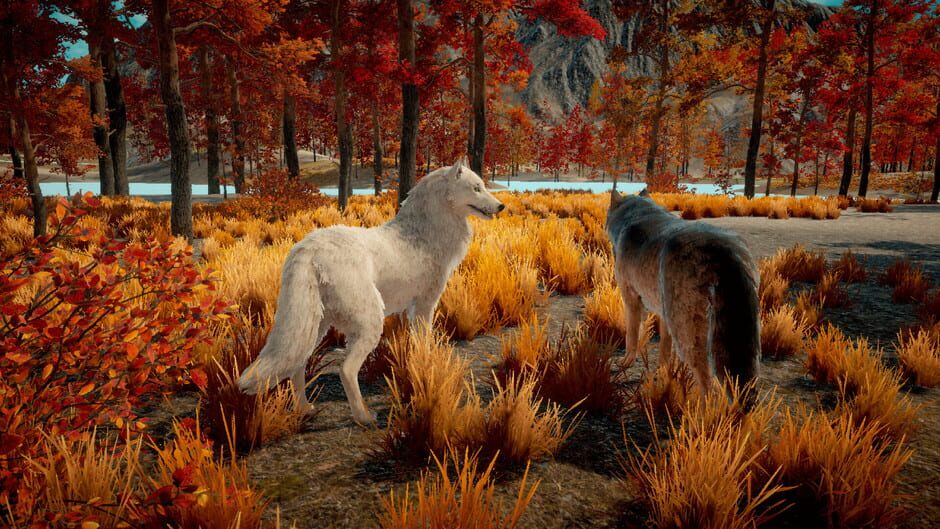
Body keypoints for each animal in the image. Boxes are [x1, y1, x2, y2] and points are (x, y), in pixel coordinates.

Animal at [238, 160, 504, 423]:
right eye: (477, 188)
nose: (501, 206)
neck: (423, 235)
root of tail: (308, 249)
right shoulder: (425, 305)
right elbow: (425, 341)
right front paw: (426, 366)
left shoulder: (412, 309)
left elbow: (415, 343)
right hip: (369, 322)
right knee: (345, 370)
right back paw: (364, 417)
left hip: (316, 325)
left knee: (298, 365)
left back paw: (304, 409)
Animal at [606, 189, 760, 391]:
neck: (636, 215)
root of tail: (724, 252)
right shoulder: (664, 314)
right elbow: (664, 348)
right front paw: (661, 373)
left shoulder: (631, 301)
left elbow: (631, 336)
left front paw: (625, 363)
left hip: (688, 336)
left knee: (708, 383)